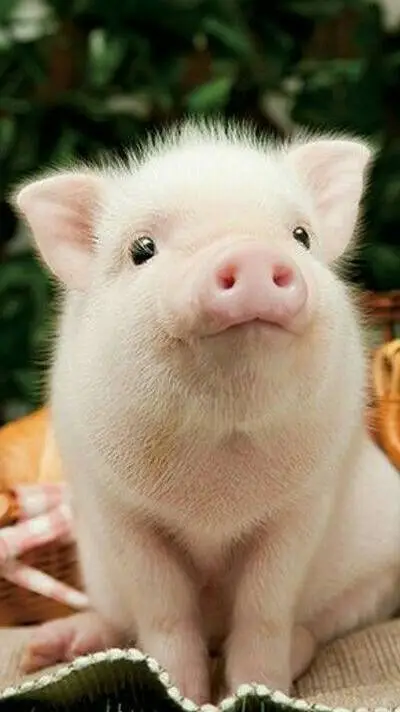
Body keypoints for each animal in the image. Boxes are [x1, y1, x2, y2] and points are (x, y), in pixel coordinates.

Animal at [13, 119, 400, 704]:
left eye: (301, 236)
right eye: (142, 249)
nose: (252, 253)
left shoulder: (303, 506)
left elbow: (266, 608)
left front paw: (257, 688)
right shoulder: (120, 511)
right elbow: (164, 613)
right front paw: (186, 694)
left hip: (376, 574)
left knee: (317, 625)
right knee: (115, 617)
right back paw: (45, 648)